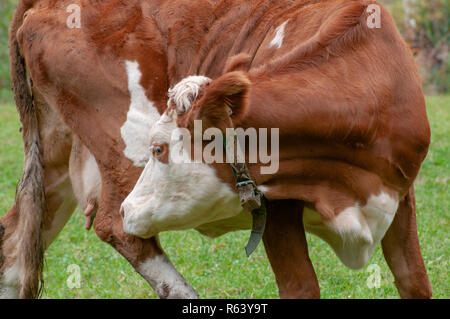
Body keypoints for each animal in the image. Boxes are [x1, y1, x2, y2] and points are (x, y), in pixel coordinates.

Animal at [0, 0, 430, 300]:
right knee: (115, 229)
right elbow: (301, 287)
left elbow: (414, 281)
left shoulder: (401, 194)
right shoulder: (274, 206)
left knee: (16, 242)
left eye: (161, 149)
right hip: (120, 136)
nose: (129, 209)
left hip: (55, 159)